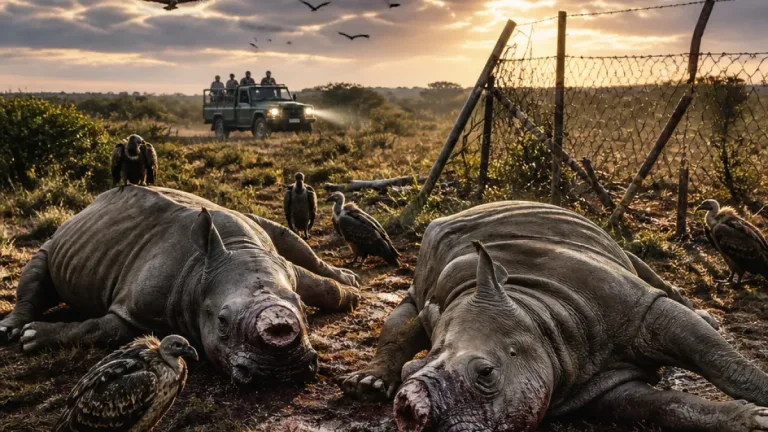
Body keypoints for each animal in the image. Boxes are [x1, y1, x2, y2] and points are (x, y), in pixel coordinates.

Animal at [0, 187, 360, 385]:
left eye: (302, 311)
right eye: (222, 322)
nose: (284, 371)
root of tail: (90, 205)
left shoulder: (284, 268)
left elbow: (320, 286)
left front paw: (352, 295)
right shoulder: (133, 308)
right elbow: (104, 329)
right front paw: (33, 337)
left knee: (288, 236)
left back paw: (350, 279)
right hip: (57, 239)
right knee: (40, 262)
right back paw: (13, 329)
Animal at [340, 201, 768, 432]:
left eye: (486, 373)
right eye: (408, 377)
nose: (408, 409)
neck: (544, 324)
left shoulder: (641, 307)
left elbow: (720, 359)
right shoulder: (598, 389)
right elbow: (665, 408)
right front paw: (752, 418)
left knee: (648, 272)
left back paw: (708, 317)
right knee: (405, 315)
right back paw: (367, 384)